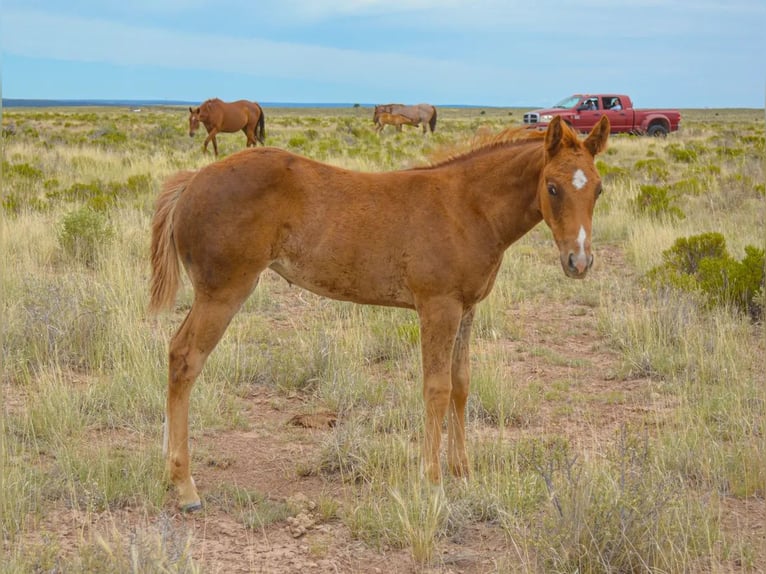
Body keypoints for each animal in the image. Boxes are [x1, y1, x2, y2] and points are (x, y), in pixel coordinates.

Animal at [150, 117, 612, 512]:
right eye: (552, 187)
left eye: (598, 189)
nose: (579, 262)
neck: (467, 208)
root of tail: (192, 181)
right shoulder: (438, 307)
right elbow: (437, 388)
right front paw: (432, 482)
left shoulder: (467, 309)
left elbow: (462, 384)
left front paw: (463, 471)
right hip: (224, 293)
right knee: (186, 358)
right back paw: (185, 486)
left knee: (176, 354)